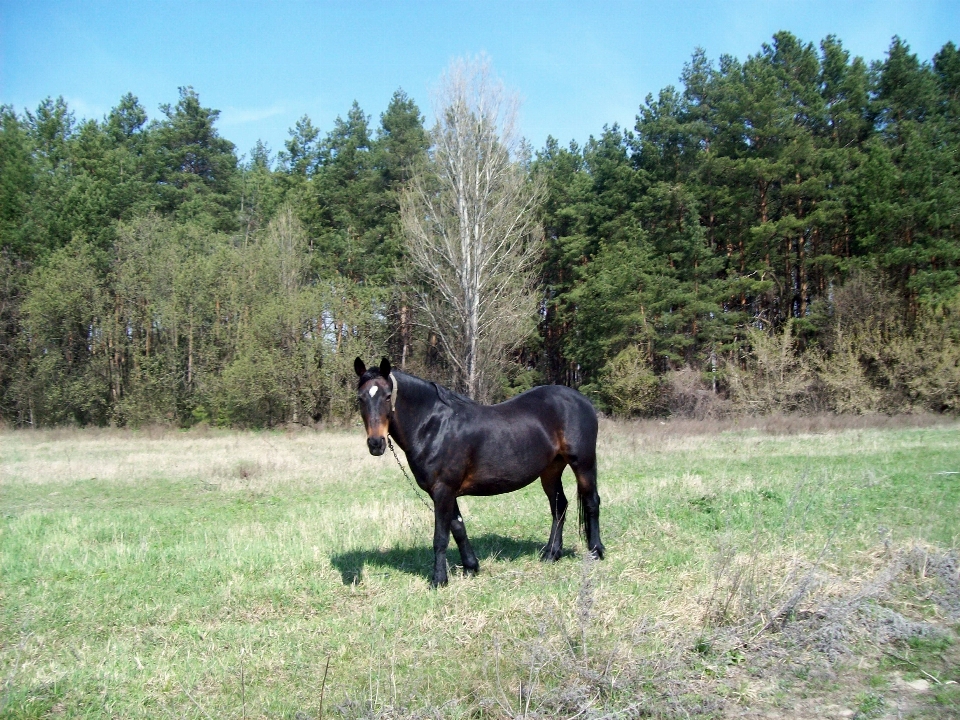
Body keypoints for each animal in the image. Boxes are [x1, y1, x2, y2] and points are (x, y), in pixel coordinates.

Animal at [352, 358, 608, 588]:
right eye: (361, 398)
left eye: (387, 396)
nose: (376, 443)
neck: (434, 426)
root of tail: (582, 400)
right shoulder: (445, 492)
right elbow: (458, 528)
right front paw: (471, 567)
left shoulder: (443, 490)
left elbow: (441, 537)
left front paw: (438, 580)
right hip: (551, 470)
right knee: (559, 507)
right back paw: (551, 554)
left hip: (583, 464)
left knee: (591, 502)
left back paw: (596, 551)